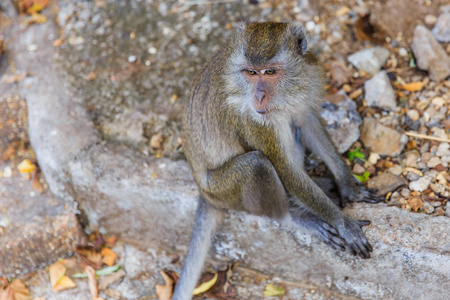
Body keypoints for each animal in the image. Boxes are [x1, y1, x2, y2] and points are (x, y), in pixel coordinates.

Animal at [171, 22, 380, 298]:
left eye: (269, 72)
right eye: (250, 72)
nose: (259, 96)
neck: (287, 89)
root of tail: (203, 192)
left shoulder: (309, 72)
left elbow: (307, 120)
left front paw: (348, 185)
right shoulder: (252, 118)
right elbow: (282, 167)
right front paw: (343, 223)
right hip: (224, 191)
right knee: (257, 164)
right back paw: (293, 216)